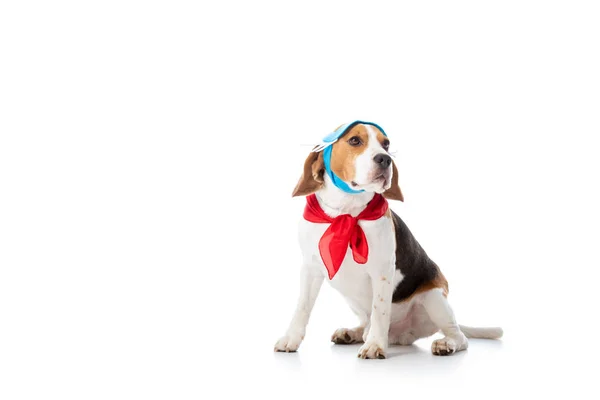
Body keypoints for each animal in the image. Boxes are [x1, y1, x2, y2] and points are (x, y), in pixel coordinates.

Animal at [276, 121, 502, 360]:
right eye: (354, 140)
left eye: (386, 144)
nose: (385, 159)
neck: (346, 212)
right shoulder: (310, 269)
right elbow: (302, 308)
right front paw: (290, 339)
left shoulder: (382, 271)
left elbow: (380, 310)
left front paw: (375, 345)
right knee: (366, 325)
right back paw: (353, 333)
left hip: (434, 299)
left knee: (460, 337)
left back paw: (444, 343)